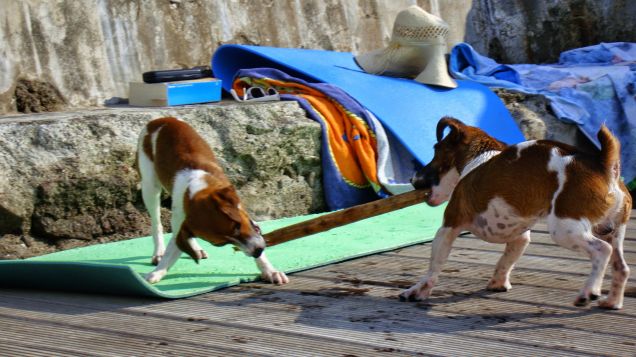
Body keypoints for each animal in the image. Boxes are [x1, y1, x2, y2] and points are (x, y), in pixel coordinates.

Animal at [138, 116, 290, 284]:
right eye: (222, 243)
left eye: (238, 225)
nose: (257, 251)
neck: (196, 188)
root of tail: (160, 119)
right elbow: (172, 249)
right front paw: (156, 273)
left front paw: (270, 270)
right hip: (150, 187)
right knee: (157, 223)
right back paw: (160, 251)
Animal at [402, 117, 632, 308]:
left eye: (436, 150)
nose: (413, 180)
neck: (480, 157)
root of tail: (603, 166)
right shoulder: (521, 237)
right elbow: (506, 261)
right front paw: (498, 283)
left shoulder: (448, 227)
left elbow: (434, 266)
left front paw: (418, 291)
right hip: (612, 230)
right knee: (621, 267)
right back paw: (612, 302)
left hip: (565, 230)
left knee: (602, 251)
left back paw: (589, 291)